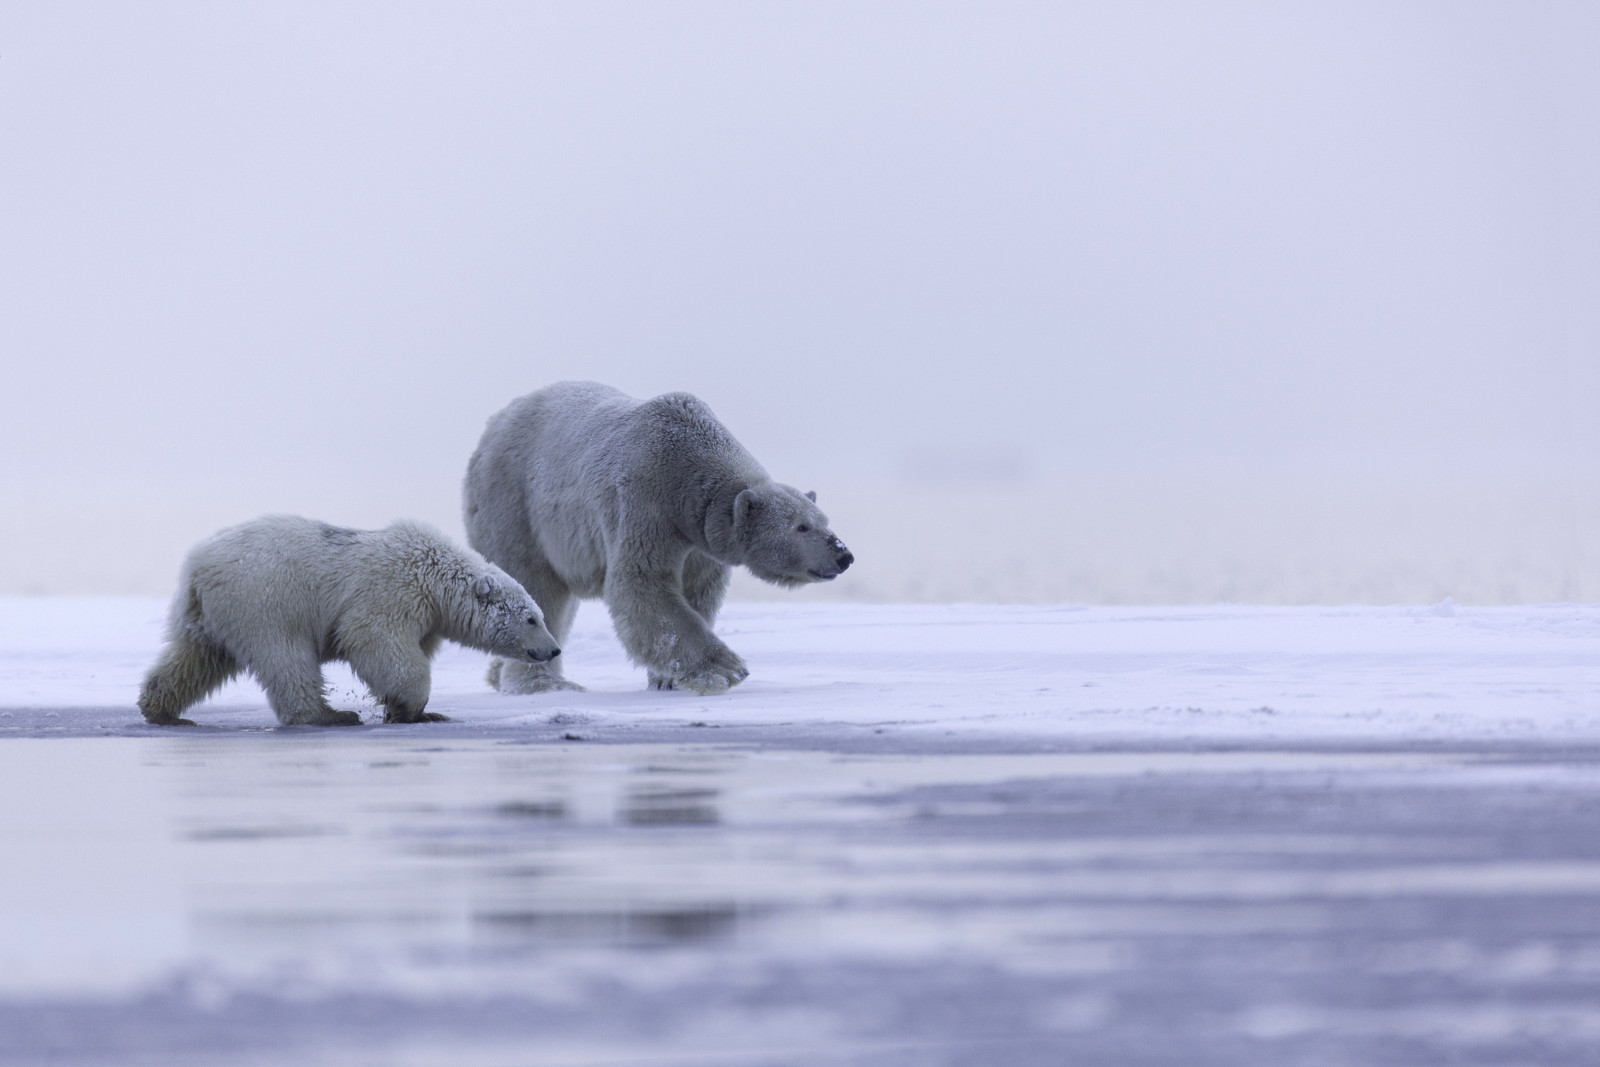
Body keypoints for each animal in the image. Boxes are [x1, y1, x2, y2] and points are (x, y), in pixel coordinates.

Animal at [139, 515, 563, 726]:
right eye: (531, 619)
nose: (554, 649)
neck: (433, 574)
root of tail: (197, 568)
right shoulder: (392, 592)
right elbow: (377, 642)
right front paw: (414, 710)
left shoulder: (426, 616)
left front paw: (414, 711)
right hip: (264, 599)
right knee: (286, 657)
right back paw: (329, 715)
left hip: (210, 615)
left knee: (195, 658)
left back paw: (161, 711)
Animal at [464, 379, 857, 697]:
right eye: (801, 527)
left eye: (824, 521)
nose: (844, 555)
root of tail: (491, 426)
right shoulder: (646, 498)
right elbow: (641, 583)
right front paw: (726, 670)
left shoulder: (700, 538)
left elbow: (697, 591)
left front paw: (667, 679)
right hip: (515, 504)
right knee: (534, 583)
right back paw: (543, 683)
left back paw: (499, 676)